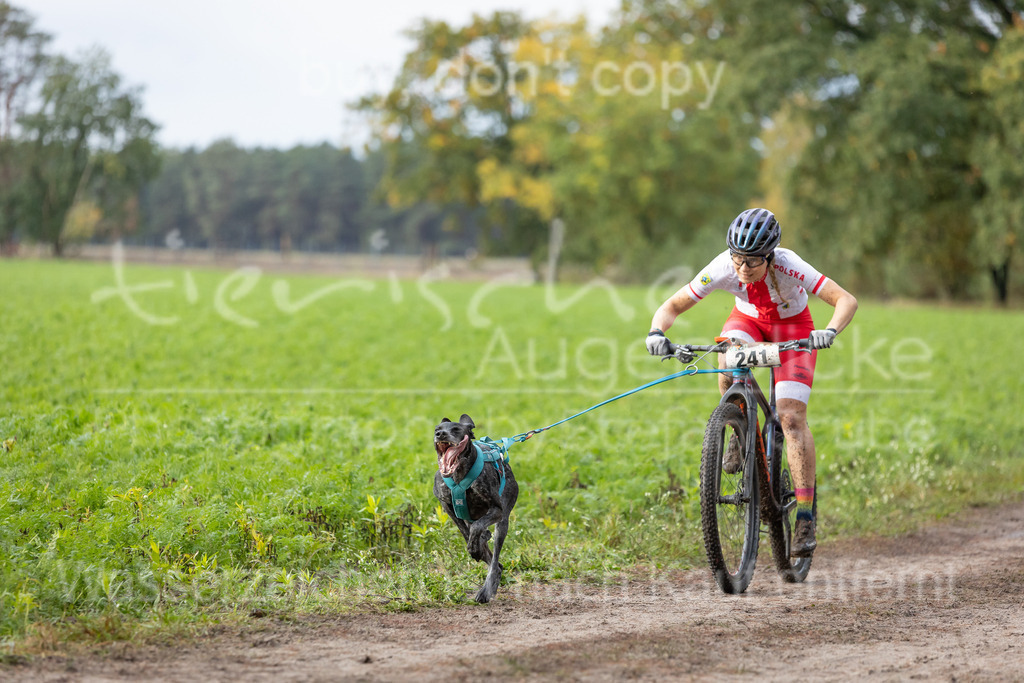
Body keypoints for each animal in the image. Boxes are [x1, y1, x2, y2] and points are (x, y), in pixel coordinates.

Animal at [432, 413, 520, 602]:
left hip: (502, 523)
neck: (458, 475)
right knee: (494, 559)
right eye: (437, 429)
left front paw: (474, 547)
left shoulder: (497, 510)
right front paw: (474, 545)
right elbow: (467, 532)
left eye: (456, 429)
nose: (440, 434)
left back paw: (486, 590)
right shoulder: (447, 506)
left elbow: (477, 527)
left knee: (495, 563)